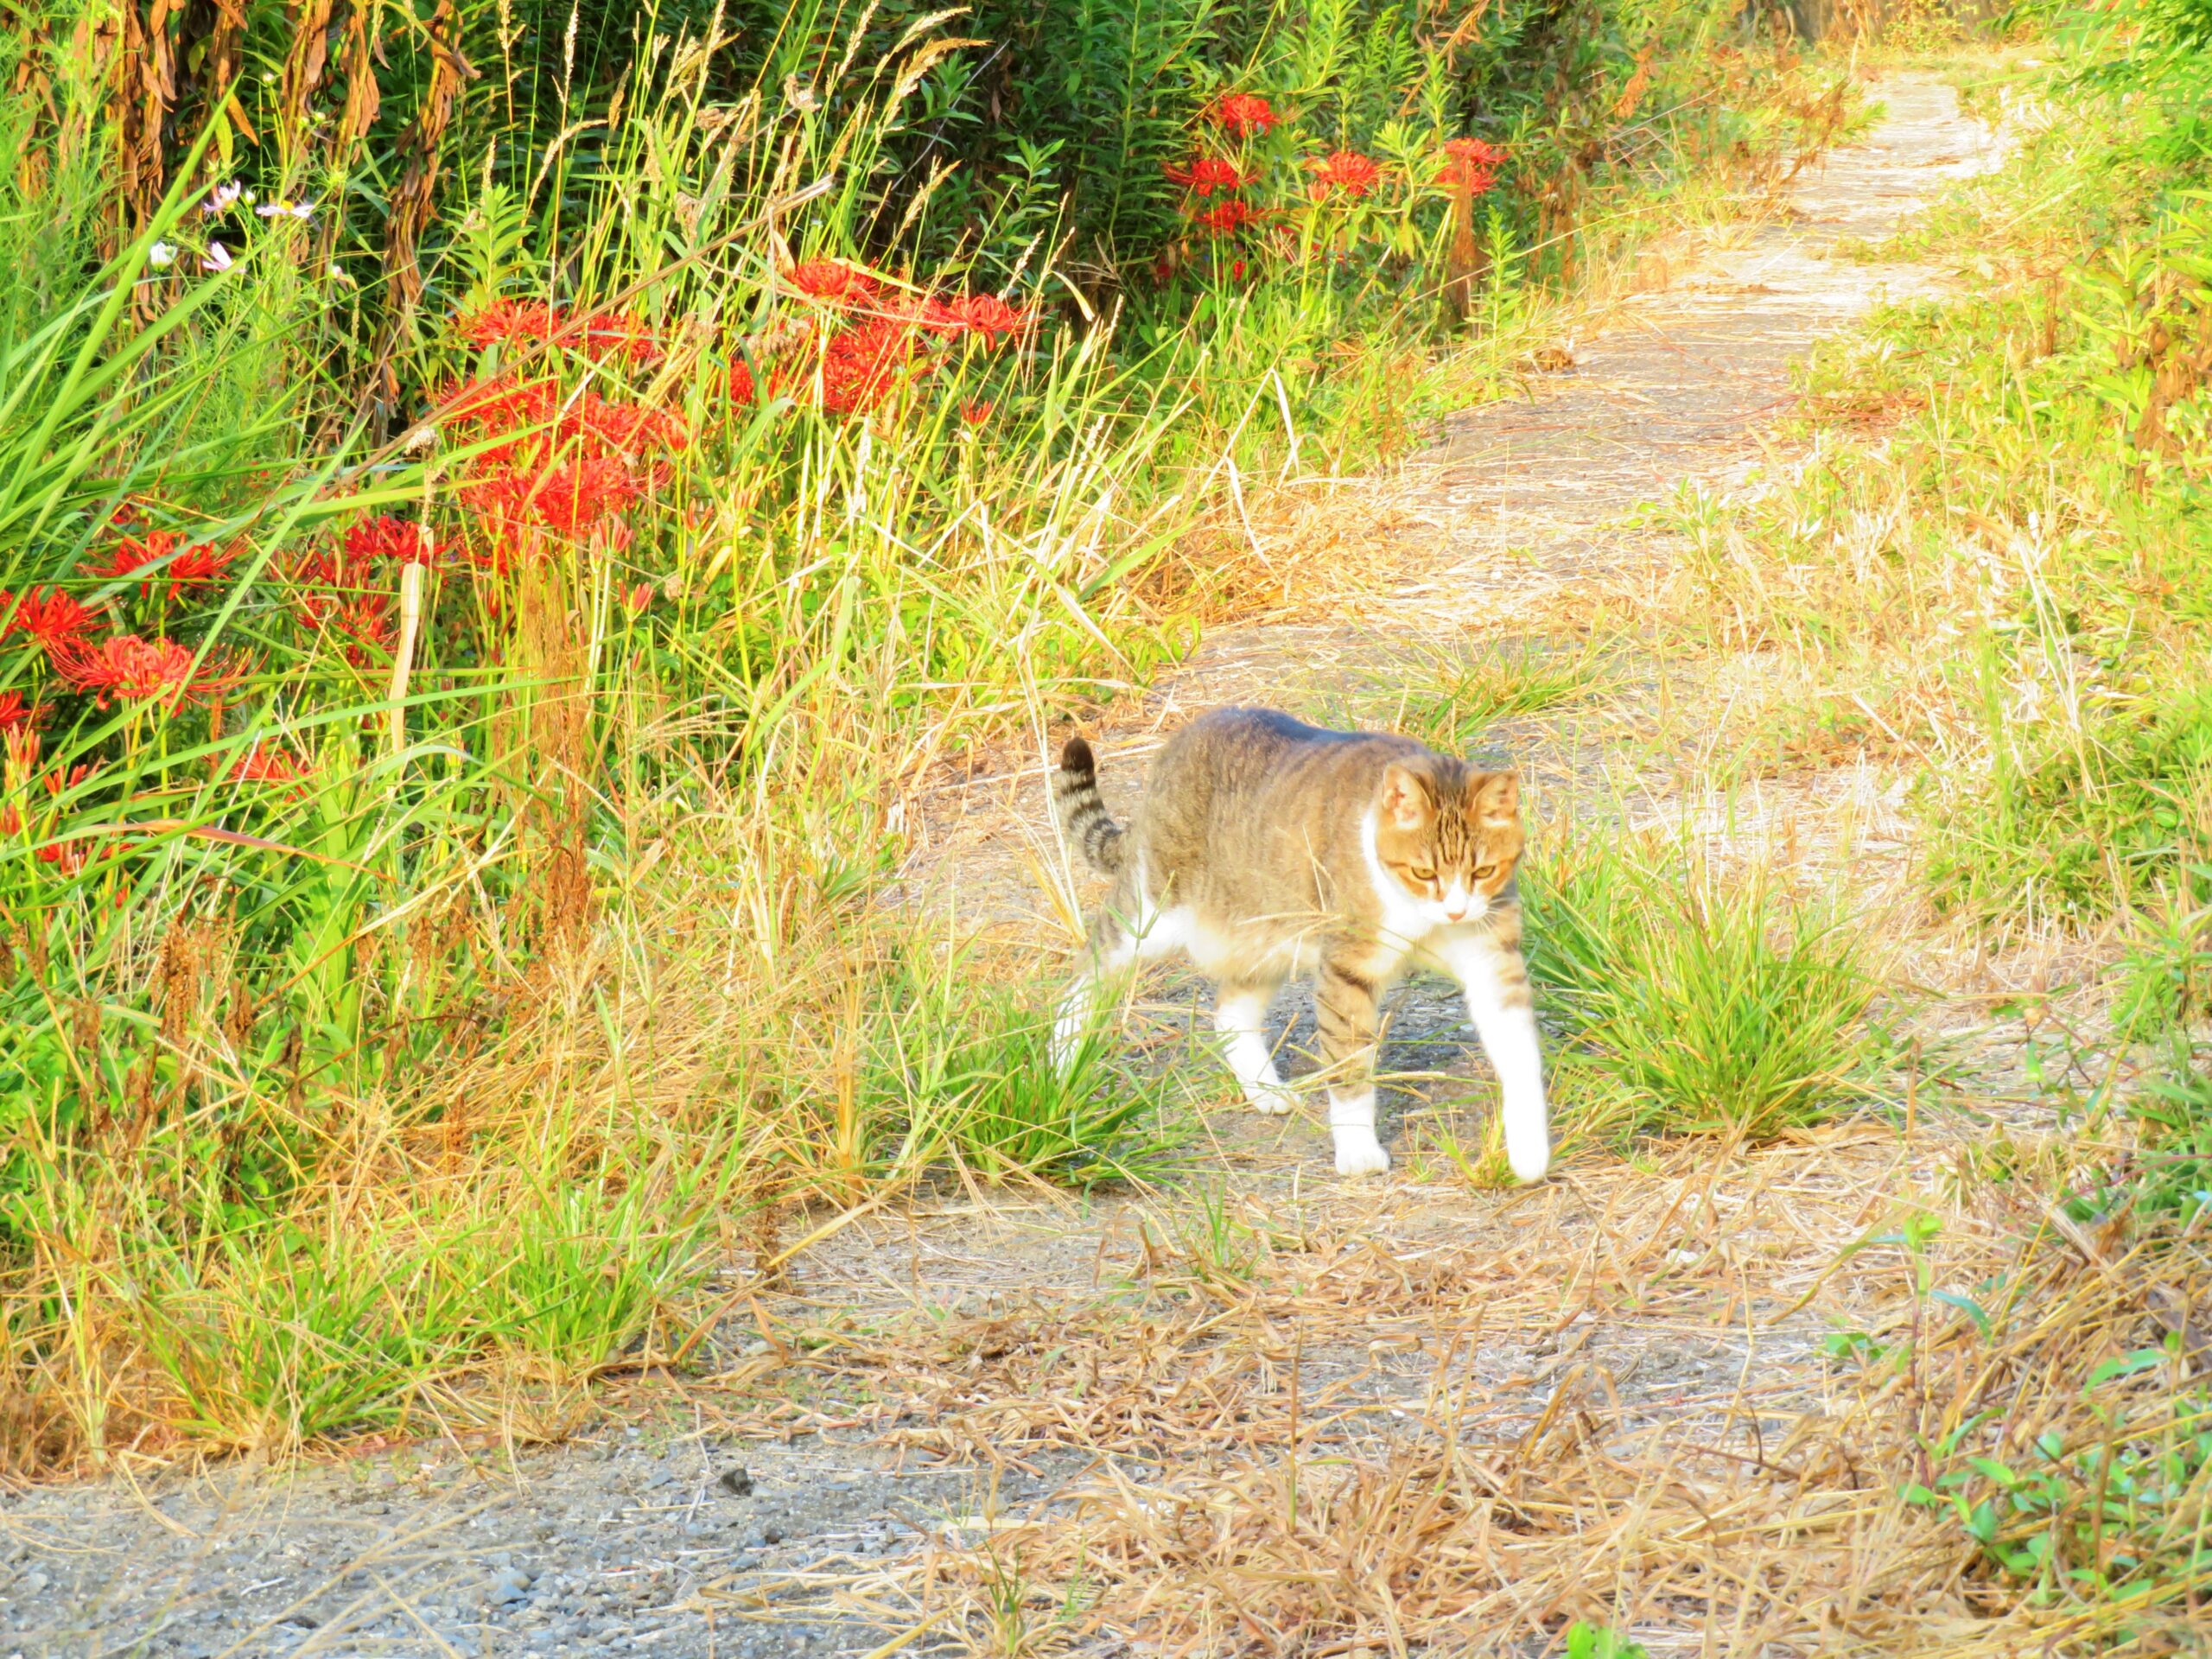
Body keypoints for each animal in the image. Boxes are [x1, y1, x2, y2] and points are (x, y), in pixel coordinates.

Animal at [1057, 708, 1557, 1185]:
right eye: (1423, 872)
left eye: (1483, 871)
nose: (1455, 912)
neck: (1418, 915)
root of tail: (1179, 743)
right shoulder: (1348, 969)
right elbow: (1350, 1066)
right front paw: (1358, 1154)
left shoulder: (1491, 960)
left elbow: (1520, 1055)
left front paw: (1529, 1153)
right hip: (1153, 915)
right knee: (1086, 969)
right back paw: (1061, 1062)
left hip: (1268, 937)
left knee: (1230, 1012)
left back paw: (1266, 1091)